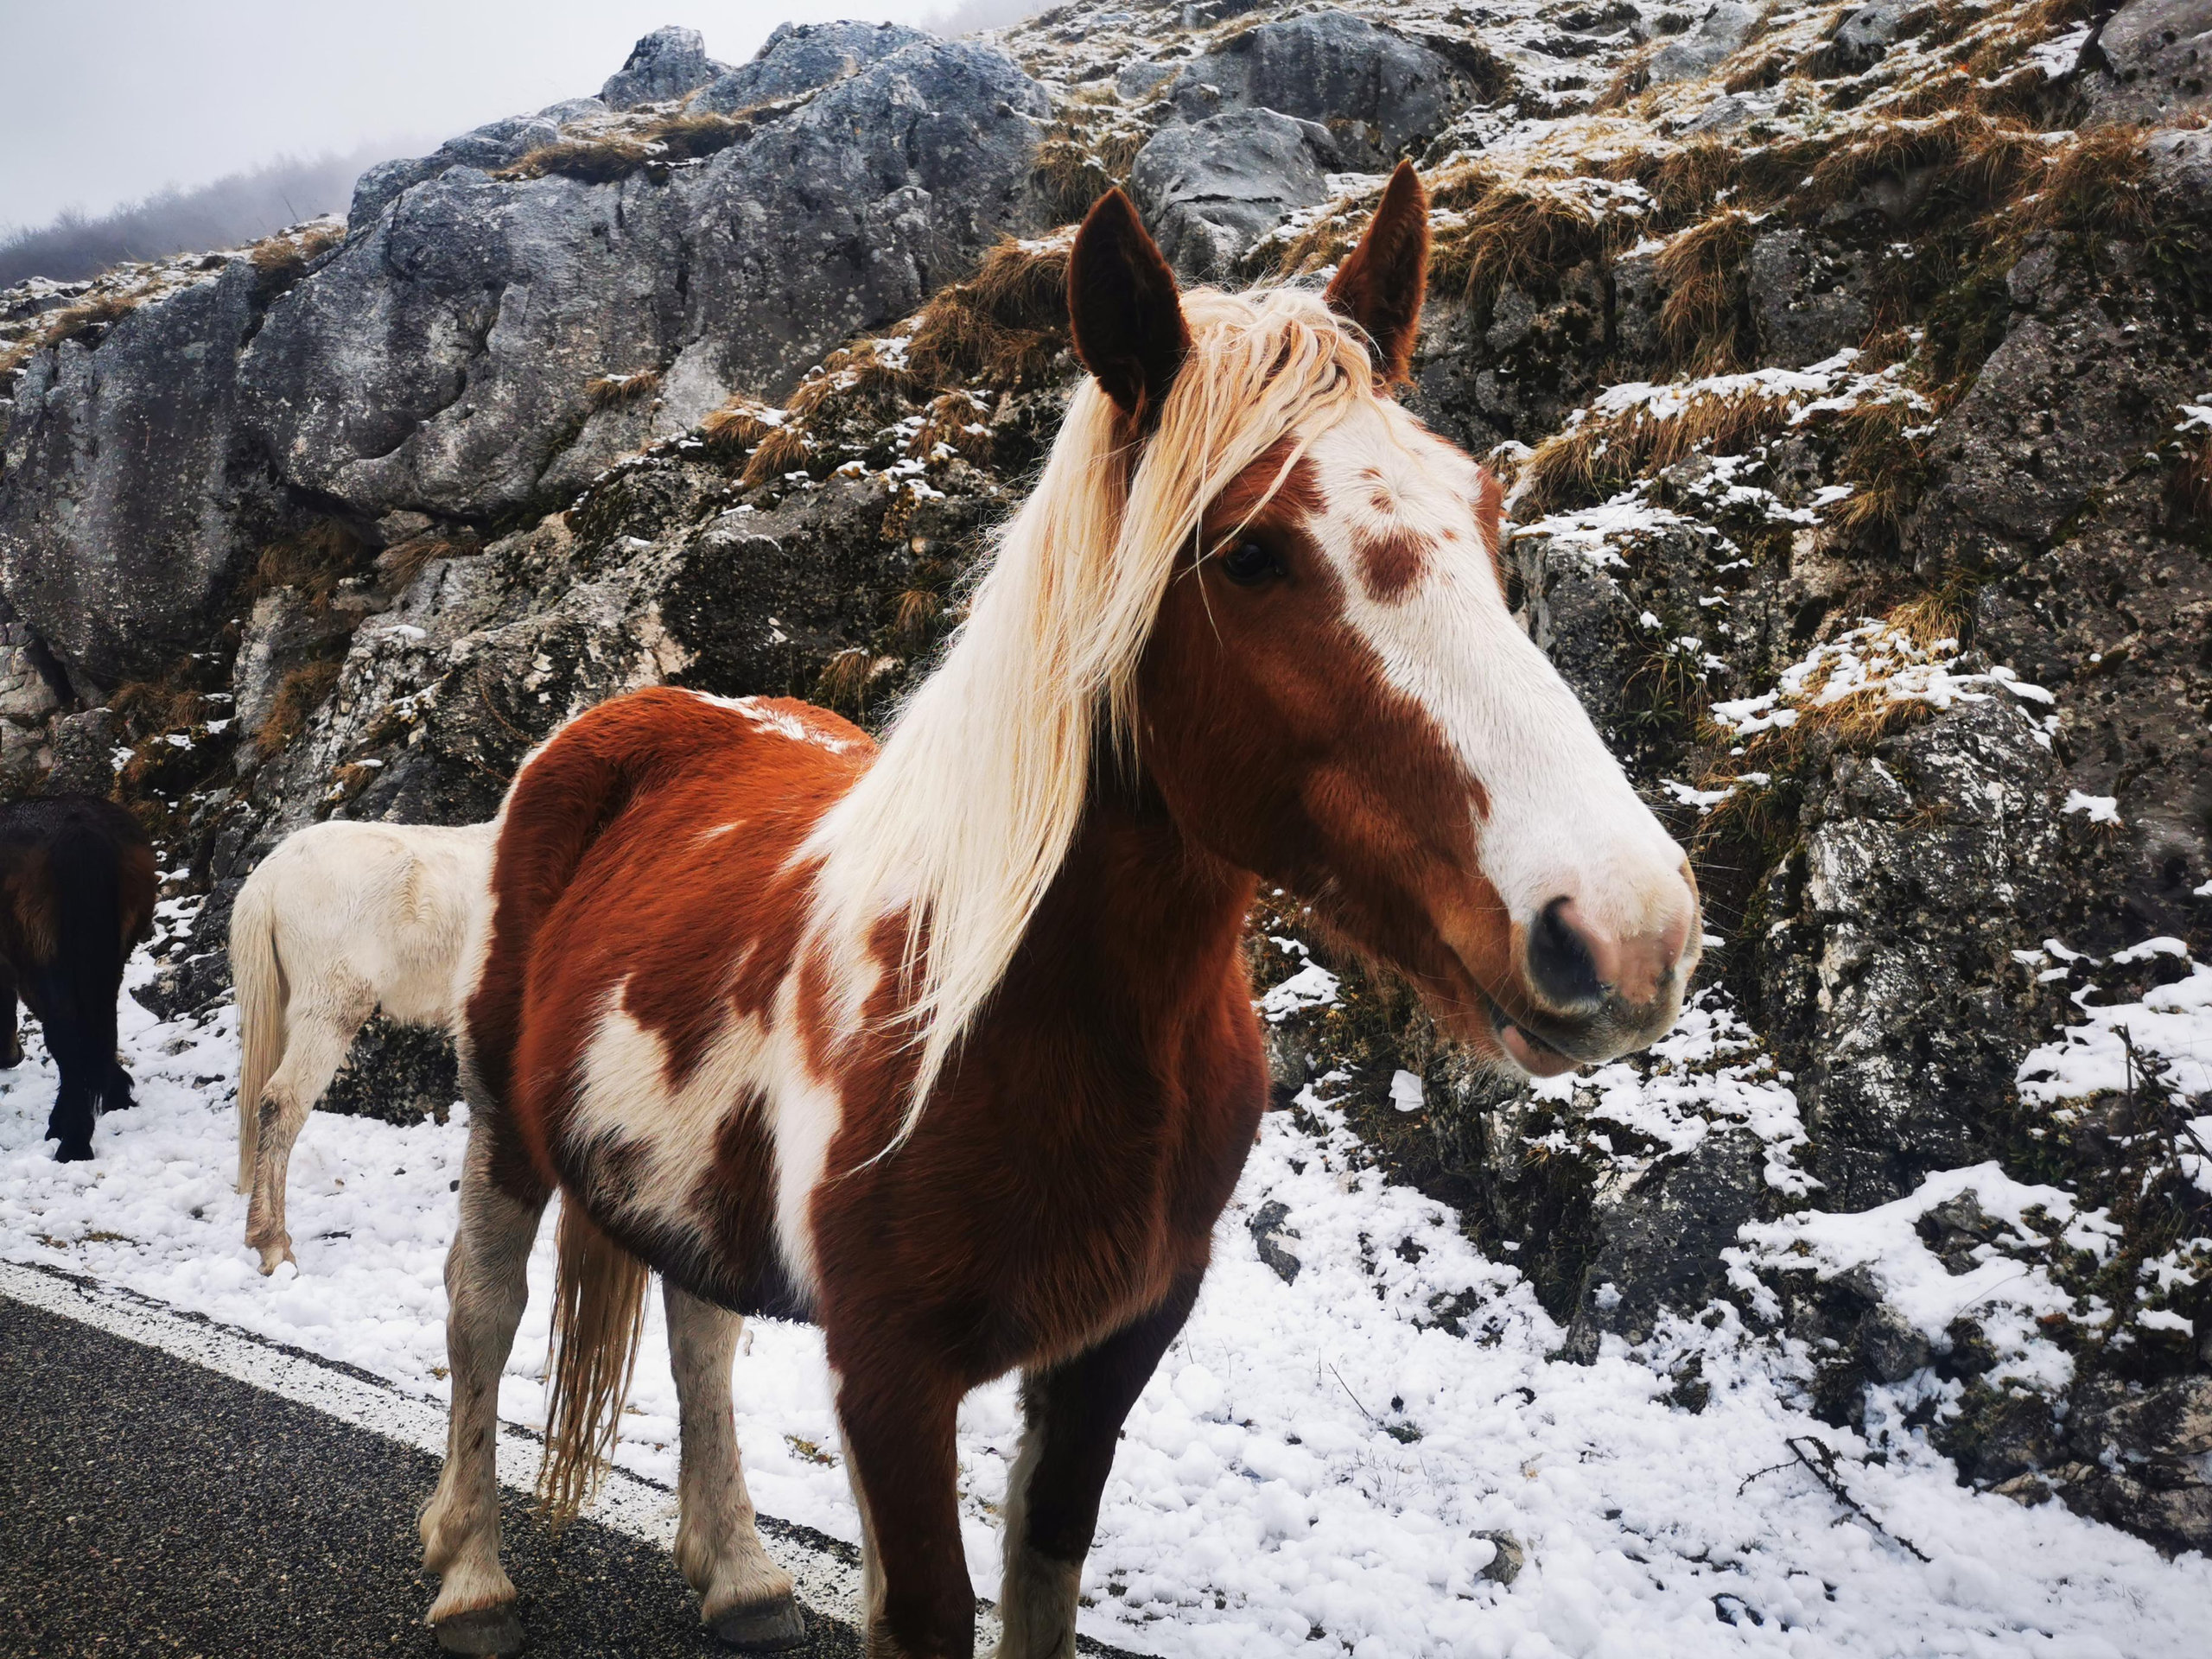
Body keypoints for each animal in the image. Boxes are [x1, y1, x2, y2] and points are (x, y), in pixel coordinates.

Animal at [0, 794, 157, 1162]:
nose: (12, 1057)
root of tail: (77, 825)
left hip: (43, 962)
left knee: (66, 1038)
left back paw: (72, 1140)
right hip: (110, 958)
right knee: (102, 1026)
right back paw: (115, 1099)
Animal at [420, 165, 1702, 1659]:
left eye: (1487, 518)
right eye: (1251, 553)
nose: (1626, 926)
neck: (1016, 1014)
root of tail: (645, 711)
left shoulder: (1111, 1353)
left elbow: (1043, 1572)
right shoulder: (889, 1377)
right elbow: (933, 1605)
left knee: (698, 1329)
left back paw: (738, 1570)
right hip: (502, 1124)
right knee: (483, 1311)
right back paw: (472, 1576)